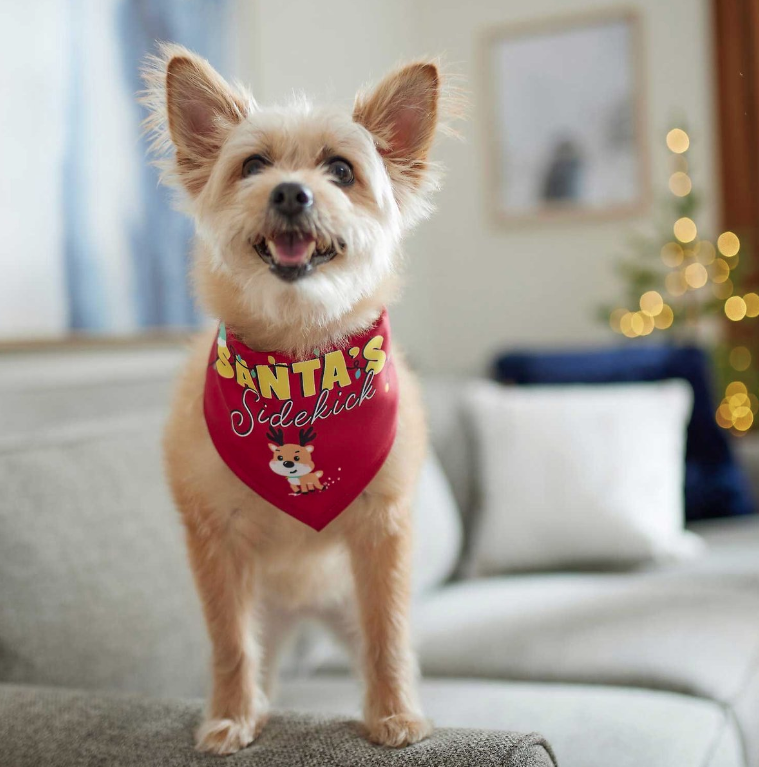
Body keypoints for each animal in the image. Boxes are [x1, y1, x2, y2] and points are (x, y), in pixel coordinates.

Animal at [142, 42, 452, 756]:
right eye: (253, 165)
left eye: (341, 169)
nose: (290, 190)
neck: (297, 361)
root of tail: (305, 608)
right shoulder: (215, 540)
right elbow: (229, 643)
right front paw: (231, 717)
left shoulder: (382, 530)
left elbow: (389, 635)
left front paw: (395, 715)